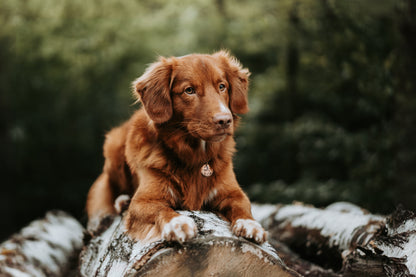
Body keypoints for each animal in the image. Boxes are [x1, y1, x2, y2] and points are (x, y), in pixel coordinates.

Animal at [86, 50, 266, 243]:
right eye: (189, 90)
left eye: (222, 86)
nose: (224, 120)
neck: (197, 156)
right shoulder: (144, 200)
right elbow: (161, 209)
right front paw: (177, 223)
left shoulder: (232, 192)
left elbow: (243, 206)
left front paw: (250, 224)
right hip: (113, 145)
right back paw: (122, 200)